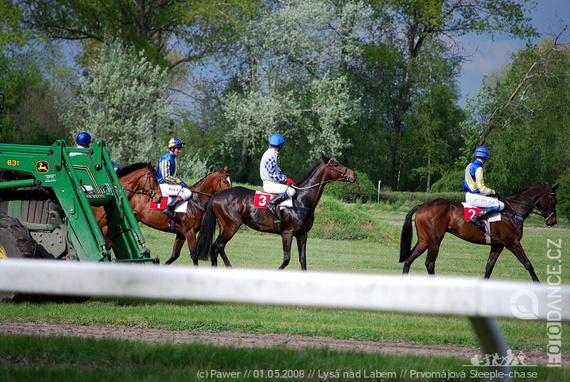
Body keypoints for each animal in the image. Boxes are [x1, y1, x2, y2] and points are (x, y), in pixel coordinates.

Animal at [191, 154, 356, 270]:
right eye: (335, 164)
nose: (354, 174)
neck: (301, 200)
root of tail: (218, 194)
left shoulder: (302, 234)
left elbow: (303, 260)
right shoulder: (287, 233)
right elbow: (286, 259)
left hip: (225, 227)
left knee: (216, 248)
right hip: (231, 227)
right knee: (218, 246)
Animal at [398, 187, 556, 282]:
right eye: (554, 200)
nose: (553, 221)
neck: (513, 211)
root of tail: (422, 205)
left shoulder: (498, 245)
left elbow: (489, 266)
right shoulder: (513, 243)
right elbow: (528, 264)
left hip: (424, 240)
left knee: (409, 259)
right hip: (435, 241)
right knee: (429, 263)